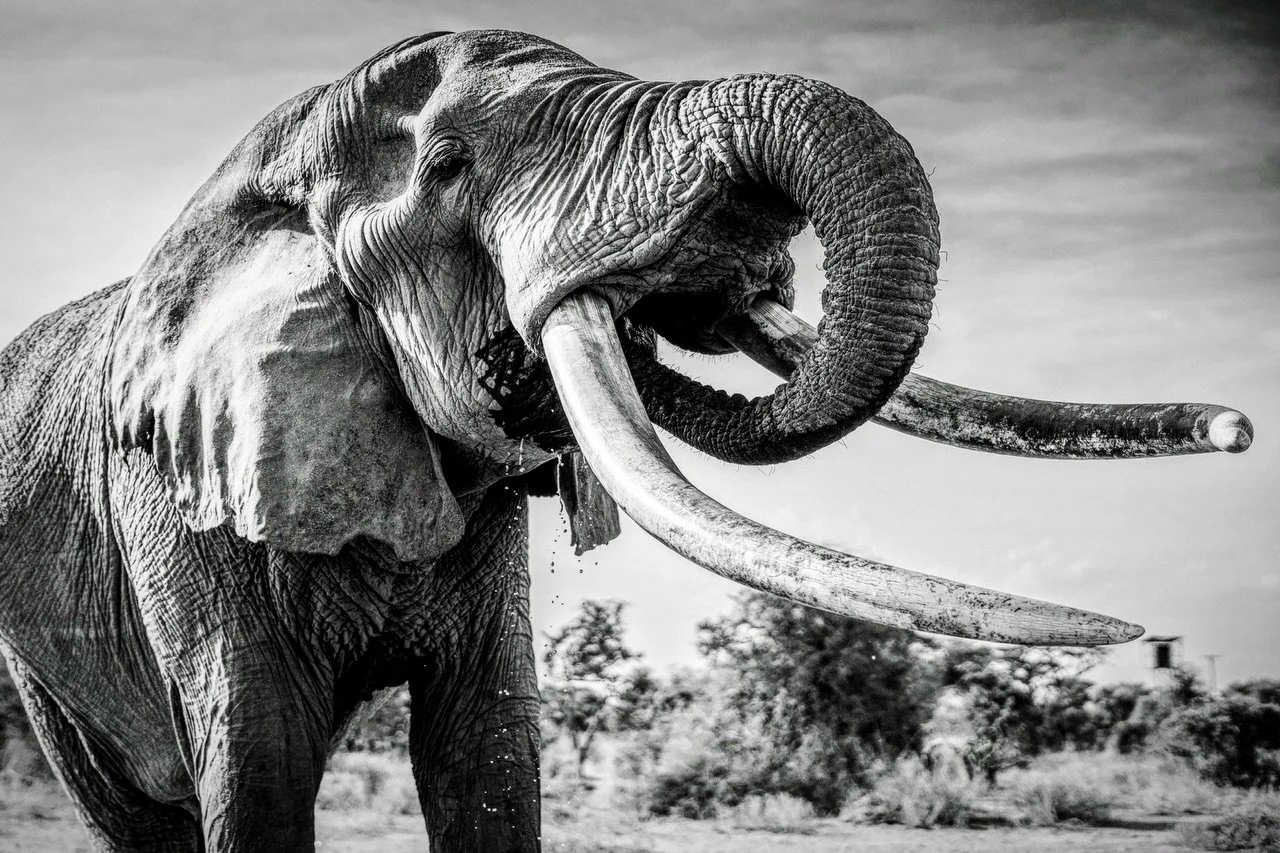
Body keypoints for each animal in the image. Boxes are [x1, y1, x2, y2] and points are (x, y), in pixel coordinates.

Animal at [0, 28, 1253, 853]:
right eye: (447, 168)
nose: (1235, 425)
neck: (264, 162)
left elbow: (490, 752)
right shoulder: (175, 496)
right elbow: (255, 757)